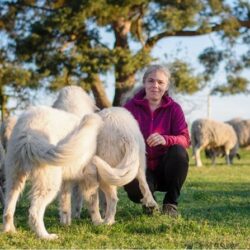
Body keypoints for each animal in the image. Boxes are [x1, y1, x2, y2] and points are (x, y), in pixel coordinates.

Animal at [2, 103, 103, 238]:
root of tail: (29, 134)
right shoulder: (89, 178)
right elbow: (93, 202)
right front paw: (99, 222)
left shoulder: (66, 181)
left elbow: (65, 204)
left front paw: (66, 224)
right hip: (49, 184)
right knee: (34, 213)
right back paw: (46, 236)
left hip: (14, 178)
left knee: (8, 208)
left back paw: (10, 230)